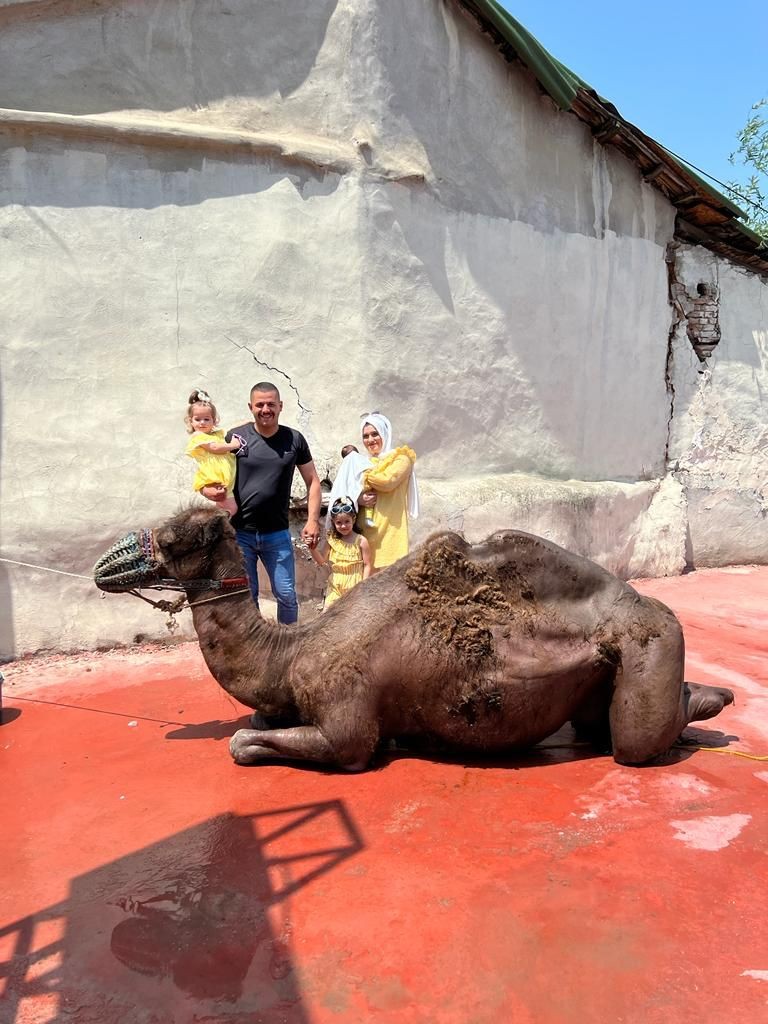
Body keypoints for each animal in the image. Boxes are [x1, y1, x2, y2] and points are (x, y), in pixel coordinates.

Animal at [93, 507, 737, 770]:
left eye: (171, 540)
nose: (105, 565)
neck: (289, 652)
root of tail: (650, 604)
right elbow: (255, 723)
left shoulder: (344, 715)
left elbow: (252, 743)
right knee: (598, 726)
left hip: (654, 639)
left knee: (633, 741)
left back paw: (716, 705)